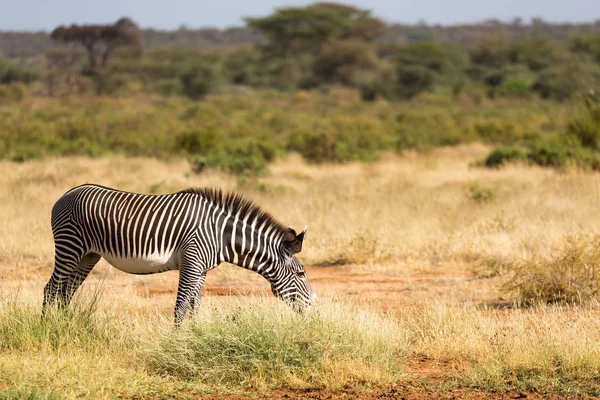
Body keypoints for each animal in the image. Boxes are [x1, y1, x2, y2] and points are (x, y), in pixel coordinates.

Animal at [43, 184, 314, 324]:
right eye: (301, 273)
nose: (314, 305)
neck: (221, 234)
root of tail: (66, 193)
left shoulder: (202, 269)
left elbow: (195, 306)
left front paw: (195, 337)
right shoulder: (191, 262)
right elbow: (181, 306)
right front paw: (176, 342)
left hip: (87, 255)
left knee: (66, 291)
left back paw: (65, 326)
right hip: (69, 246)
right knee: (51, 289)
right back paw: (48, 328)